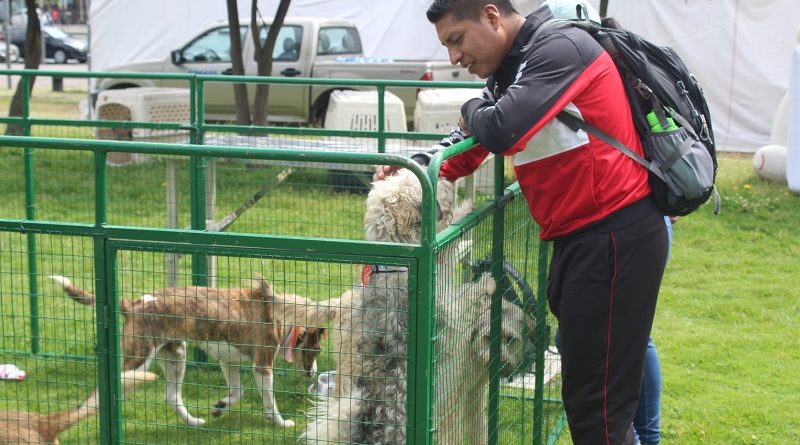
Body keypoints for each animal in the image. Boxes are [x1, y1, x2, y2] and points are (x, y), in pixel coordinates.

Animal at [49, 274, 324, 426]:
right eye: (318, 350)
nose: (313, 373)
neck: (283, 316)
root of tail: (132, 304)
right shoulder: (263, 367)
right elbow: (270, 401)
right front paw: (280, 423)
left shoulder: (229, 362)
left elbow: (238, 392)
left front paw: (221, 406)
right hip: (139, 361)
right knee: (103, 393)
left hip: (176, 356)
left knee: (172, 397)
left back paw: (193, 423)